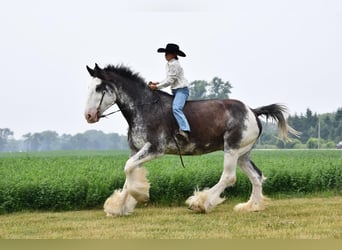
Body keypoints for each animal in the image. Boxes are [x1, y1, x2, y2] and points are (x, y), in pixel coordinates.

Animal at [84, 63, 298, 216]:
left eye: (99, 88)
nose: (88, 116)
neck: (144, 108)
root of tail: (252, 111)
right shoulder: (136, 150)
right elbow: (129, 174)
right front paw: (119, 207)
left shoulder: (154, 149)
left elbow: (128, 169)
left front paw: (140, 196)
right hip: (243, 154)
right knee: (256, 176)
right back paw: (252, 206)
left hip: (232, 149)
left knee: (229, 177)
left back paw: (201, 203)